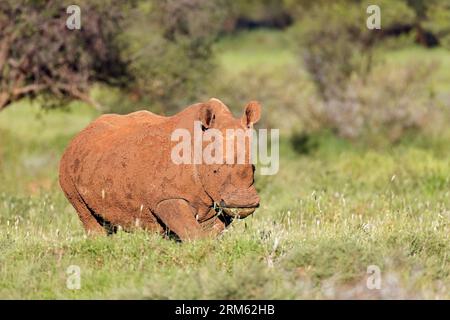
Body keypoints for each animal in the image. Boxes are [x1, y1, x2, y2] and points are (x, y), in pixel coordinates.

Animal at [61, 97, 262, 240]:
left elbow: (212, 231)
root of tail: (79, 135)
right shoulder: (166, 198)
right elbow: (192, 232)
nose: (243, 203)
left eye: (253, 169)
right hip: (66, 168)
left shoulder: (217, 201)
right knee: (85, 213)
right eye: (215, 170)